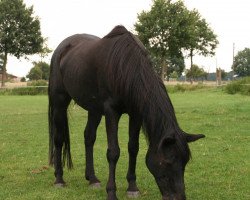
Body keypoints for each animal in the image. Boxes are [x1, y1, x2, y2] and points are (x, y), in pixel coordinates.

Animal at [47, 25, 204, 199]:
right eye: (167, 162)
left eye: (185, 162)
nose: (179, 197)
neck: (124, 65)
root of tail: (61, 49)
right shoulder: (111, 112)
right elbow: (113, 152)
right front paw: (111, 192)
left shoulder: (135, 114)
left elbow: (133, 148)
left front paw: (132, 187)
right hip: (59, 101)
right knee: (58, 138)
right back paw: (59, 179)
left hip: (94, 109)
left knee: (89, 137)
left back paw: (92, 178)